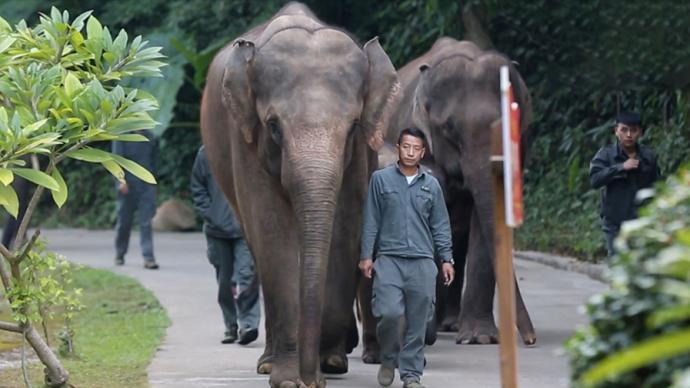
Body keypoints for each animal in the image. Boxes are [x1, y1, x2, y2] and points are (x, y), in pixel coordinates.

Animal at [196, 3, 398, 388]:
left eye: (352, 126)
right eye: (274, 127)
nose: (309, 377)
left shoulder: (361, 155)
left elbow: (347, 226)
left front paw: (326, 365)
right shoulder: (245, 139)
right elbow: (273, 232)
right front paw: (289, 380)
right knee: (256, 246)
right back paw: (268, 362)